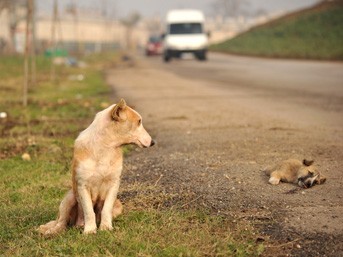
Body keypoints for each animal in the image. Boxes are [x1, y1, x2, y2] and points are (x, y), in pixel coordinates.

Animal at [38, 98, 155, 234]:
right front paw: (89, 230)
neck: (105, 148)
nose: (153, 142)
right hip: (69, 198)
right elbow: (89, 211)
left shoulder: (114, 185)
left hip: (118, 206)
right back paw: (53, 231)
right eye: (139, 122)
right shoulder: (82, 186)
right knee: (61, 222)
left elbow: (106, 209)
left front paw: (105, 227)